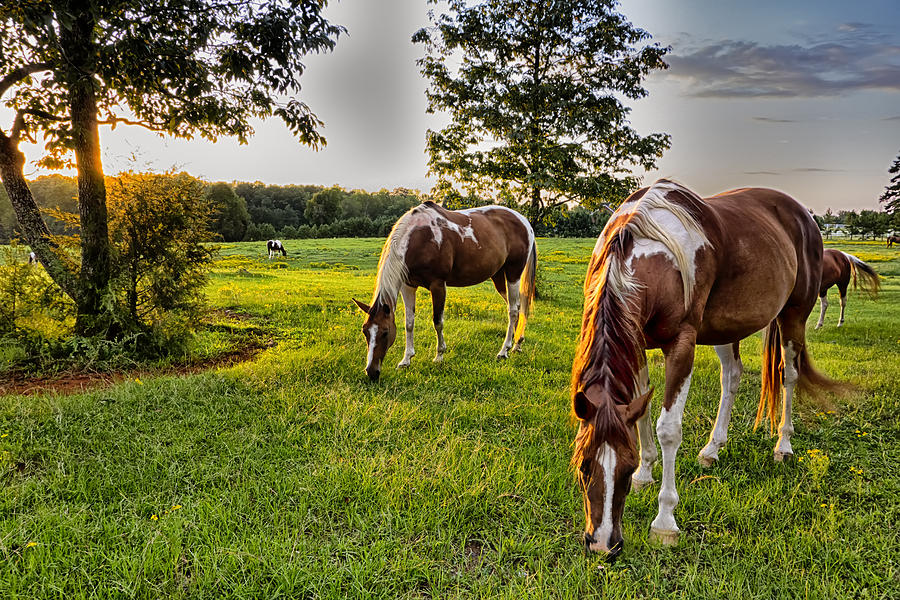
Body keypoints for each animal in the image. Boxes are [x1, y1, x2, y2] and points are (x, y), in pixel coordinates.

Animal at [352, 200, 536, 380]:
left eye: (385, 332)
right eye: (365, 331)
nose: (371, 372)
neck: (421, 239)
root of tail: (524, 221)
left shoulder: (438, 285)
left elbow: (437, 321)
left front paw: (439, 355)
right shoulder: (407, 286)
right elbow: (409, 323)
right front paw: (406, 359)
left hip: (513, 274)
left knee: (513, 310)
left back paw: (504, 351)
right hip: (498, 276)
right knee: (518, 307)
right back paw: (517, 344)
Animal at [568, 178, 836, 556]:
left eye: (625, 465)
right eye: (583, 464)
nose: (604, 544)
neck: (652, 250)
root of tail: (804, 216)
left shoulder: (682, 346)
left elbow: (668, 429)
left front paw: (664, 522)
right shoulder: (637, 343)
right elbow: (643, 414)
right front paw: (646, 475)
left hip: (793, 316)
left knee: (790, 376)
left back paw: (783, 445)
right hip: (727, 328)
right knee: (732, 377)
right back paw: (713, 449)